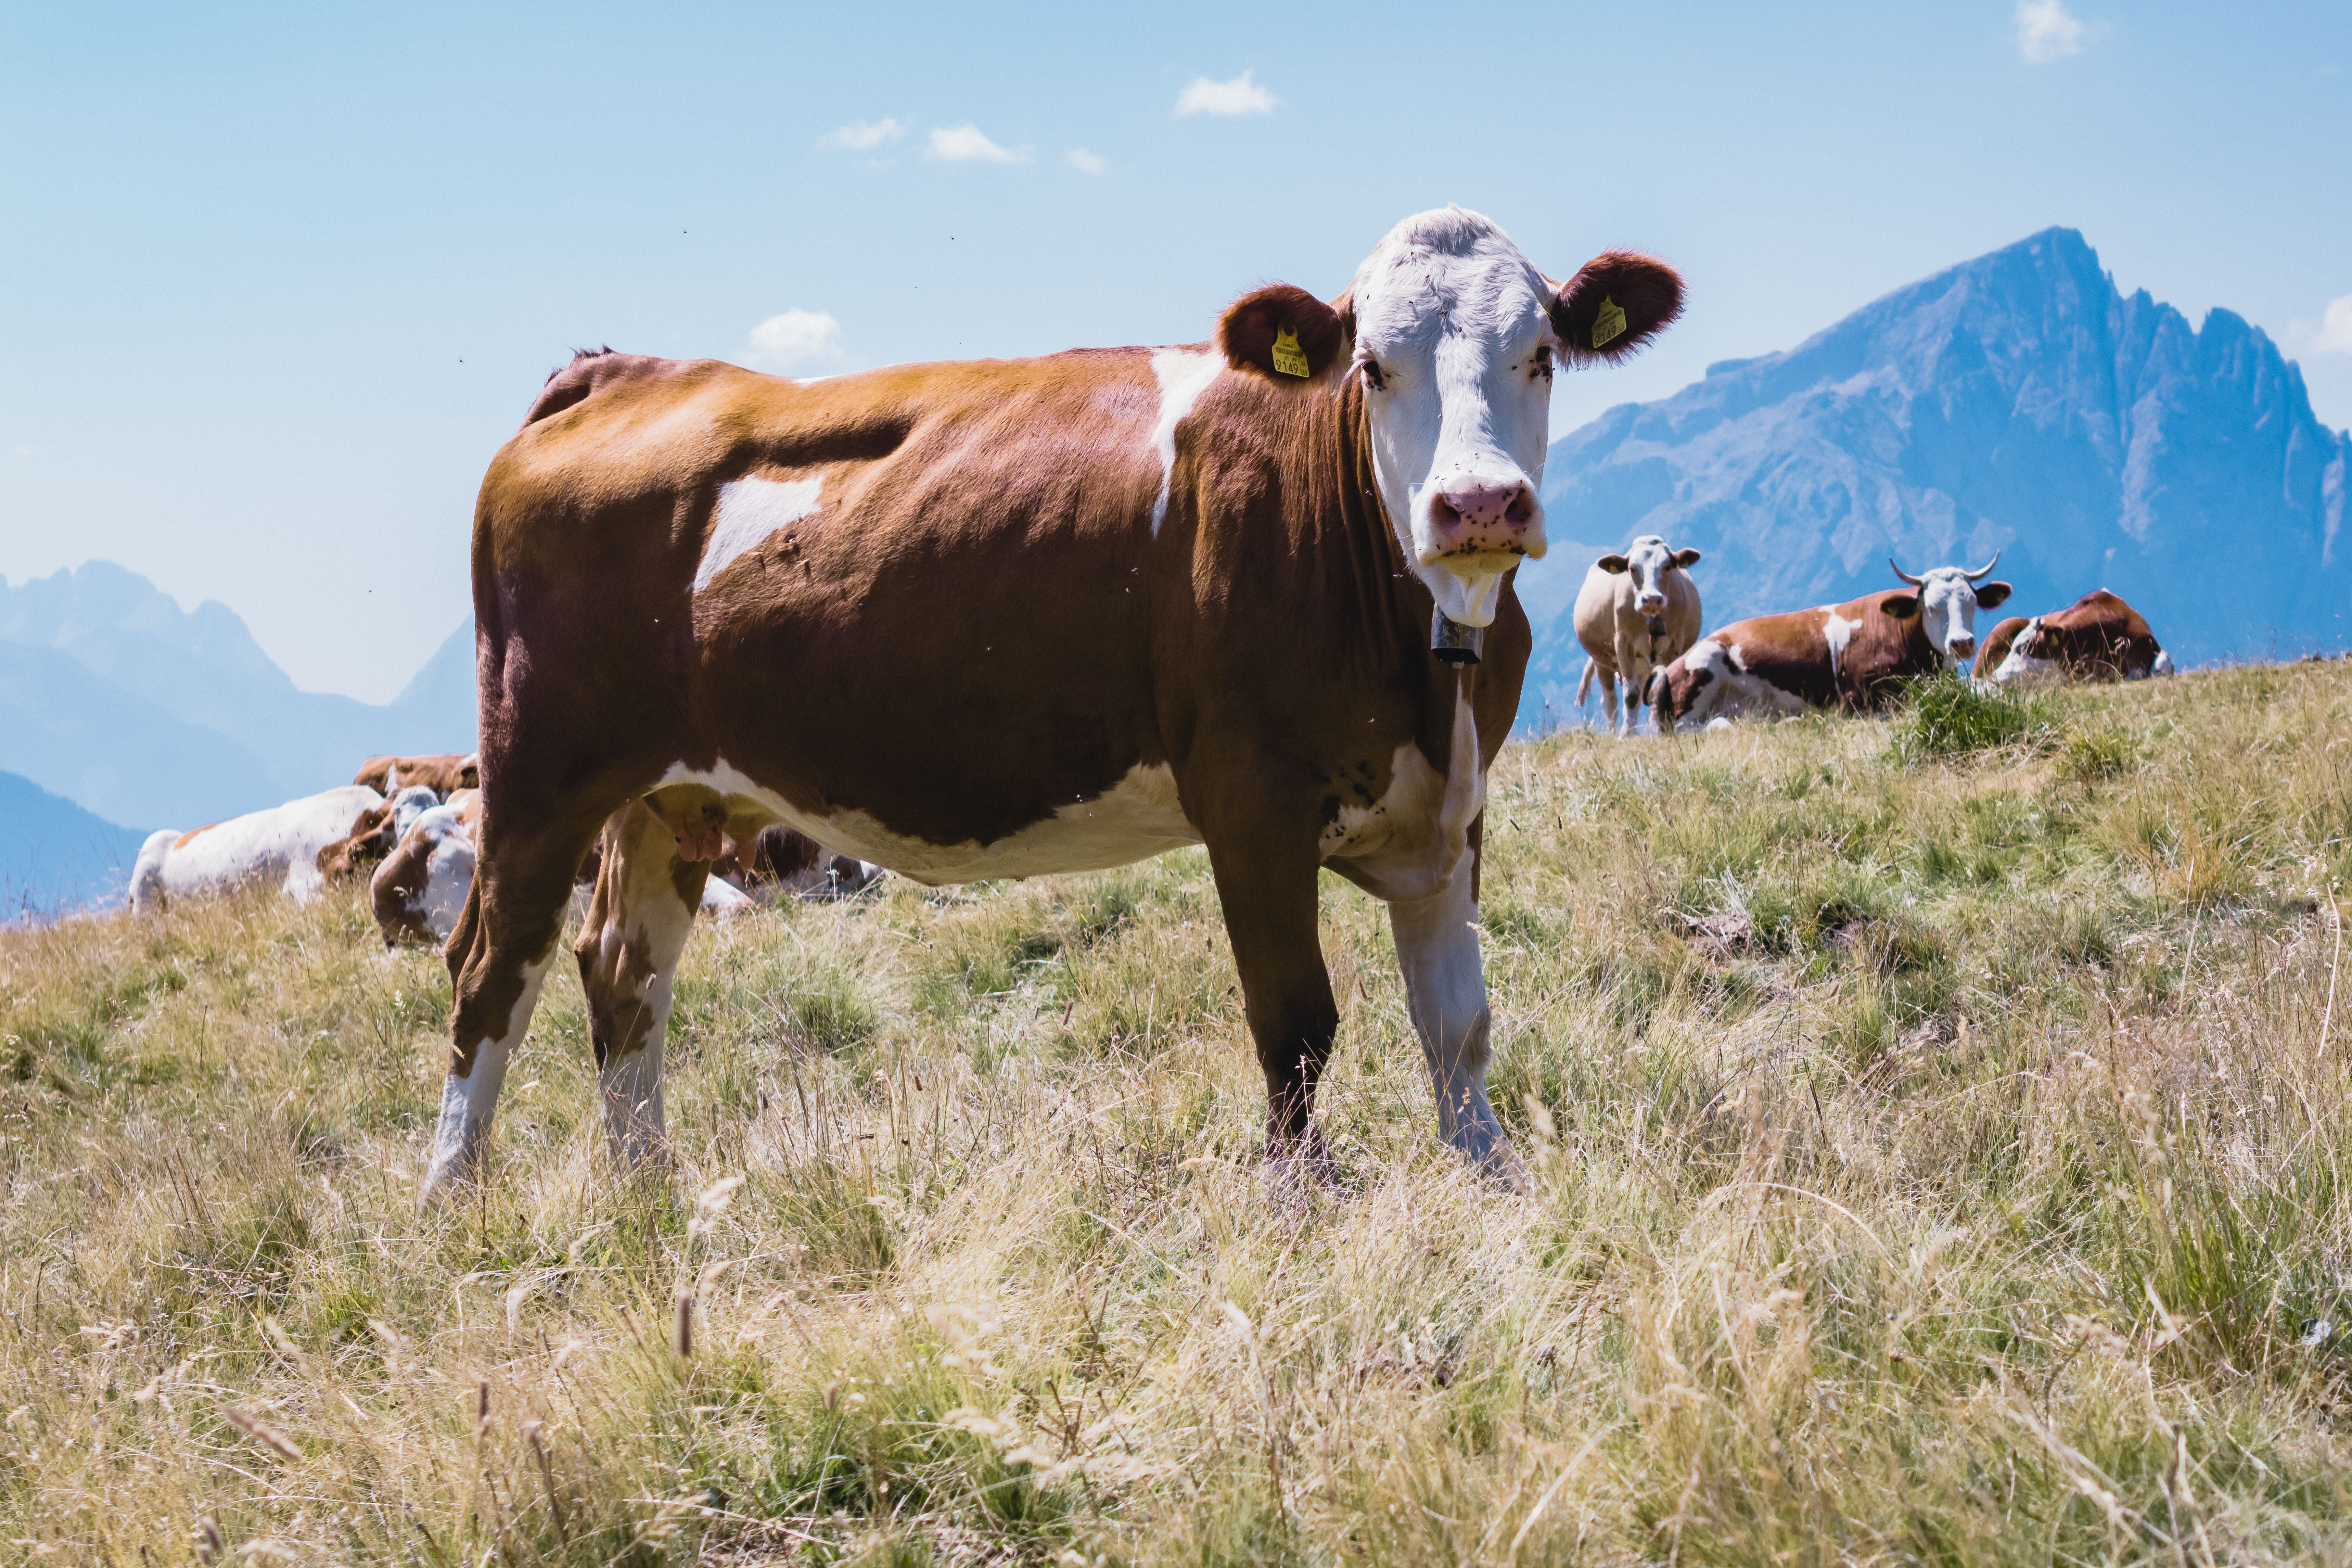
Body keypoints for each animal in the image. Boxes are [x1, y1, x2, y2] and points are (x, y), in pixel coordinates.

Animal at [415, 205, 1683, 1204]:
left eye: (1540, 353)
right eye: (1372, 365)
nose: (1478, 504)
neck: (1423, 662)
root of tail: (631, 370)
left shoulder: (1450, 805)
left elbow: (1457, 1026)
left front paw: (1496, 1186)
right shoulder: (1250, 803)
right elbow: (1295, 1024)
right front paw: (1303, 1209)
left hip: (666, 795)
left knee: (622, 975)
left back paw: (652, 1200)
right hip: (537, 774)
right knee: (490, 972)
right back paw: (451, 1212)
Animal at [1571, 535, 1702, 735]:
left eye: (1667, 566)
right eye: (1632, 569)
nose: (1652, 600)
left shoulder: (1676, 644)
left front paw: (1667, 732)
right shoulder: (1623, 642)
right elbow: (1631, 696)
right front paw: (1625, 736)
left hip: (1642, 667)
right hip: (1601, 660)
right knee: (1610, 701)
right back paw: (1614, 733)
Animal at [1647, 556, 2012, 734]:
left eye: (1971, 603)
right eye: (1932, 607)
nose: (1962, 643)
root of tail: (1669, 667)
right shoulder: (1856, 698)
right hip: (1700, 678)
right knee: (1697, 728)